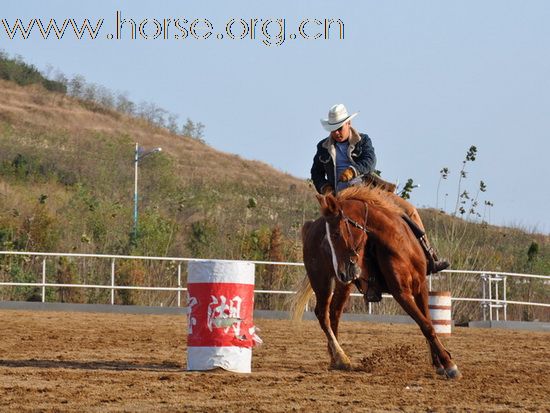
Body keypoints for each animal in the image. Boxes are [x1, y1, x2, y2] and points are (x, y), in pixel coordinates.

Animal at [294, 185, 462, 378]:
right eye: (325, 242)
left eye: (336, 234)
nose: (342, 272)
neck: (398, 242)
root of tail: (309, 227)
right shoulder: (401, 292)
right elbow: (426, 325)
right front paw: (449, 364)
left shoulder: (420, 286)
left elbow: (427, 321)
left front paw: (439, 362)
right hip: (323, 281)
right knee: (323, 314)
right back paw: (341, 357)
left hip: (343, 285)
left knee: (334, 313)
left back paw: (334, 358)